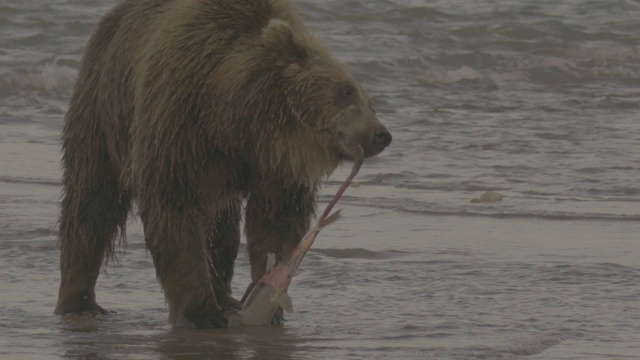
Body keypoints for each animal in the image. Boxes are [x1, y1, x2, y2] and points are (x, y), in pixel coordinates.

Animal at [55, 0, 392, 328]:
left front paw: (265, 299)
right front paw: (200, 311)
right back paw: (79, 302)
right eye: (345, 91)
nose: (381, 134)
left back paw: (224, 295)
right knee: (92, 199)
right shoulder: (177, 124)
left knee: (222, 228)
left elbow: (276, 219)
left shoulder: (278, 166)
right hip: (103, 107)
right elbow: (173, 209)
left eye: (370, 102)